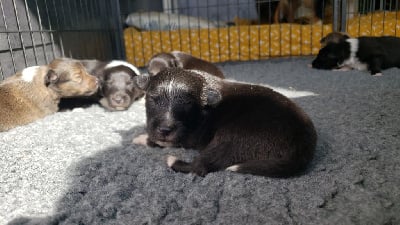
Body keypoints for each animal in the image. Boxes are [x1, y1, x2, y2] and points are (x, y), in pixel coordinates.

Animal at [133, 67, 318, 177]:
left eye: (187, 103)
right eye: (153, 99)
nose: (165, 130)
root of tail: (301, 149)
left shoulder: (188, 136)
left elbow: (164, 142)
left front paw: (142, 138)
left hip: (232, 138)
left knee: (201, 166)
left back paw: (172, 160)